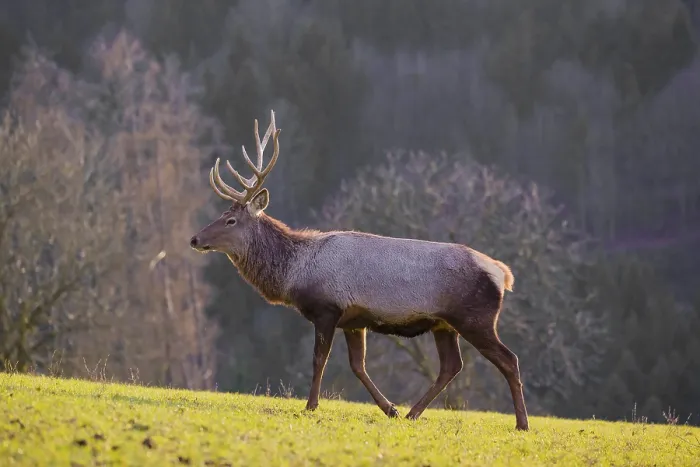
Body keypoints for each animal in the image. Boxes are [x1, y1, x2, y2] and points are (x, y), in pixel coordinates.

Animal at [189, 110, 530, 431]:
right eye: (224, 214)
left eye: (231, 220)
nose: (195, 239)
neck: (295, 273)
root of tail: (503, 274)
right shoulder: (354, 321)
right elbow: (358, 366)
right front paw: (390, 409)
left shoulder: (327, 308)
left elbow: (319, 359)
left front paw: (310, 406)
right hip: (444, 324)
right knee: (452, 366)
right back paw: (412, 413)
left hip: (475, 318)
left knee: (508, 359)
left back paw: (522, 423)